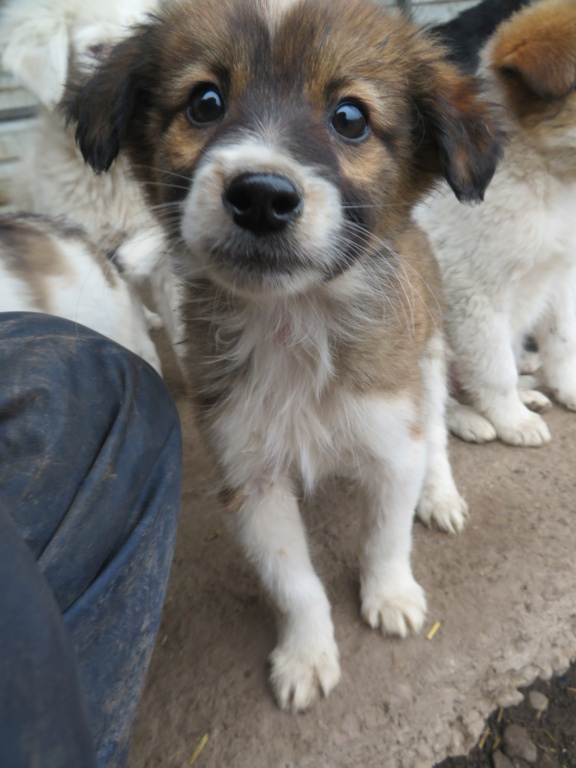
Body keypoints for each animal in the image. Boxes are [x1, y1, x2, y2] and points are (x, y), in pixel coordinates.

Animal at [66, 0, 500, 712]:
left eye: (350, 117)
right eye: (205, 102)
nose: (261, 196)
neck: (295, 322)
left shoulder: (391, 434)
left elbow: (387, 534)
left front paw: (391, 595)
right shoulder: (250, 475)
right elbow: (294, 583)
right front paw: (306, 655)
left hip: (430, 362)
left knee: (436, 434)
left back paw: (439, 494)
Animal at [416, 0, 576, 448]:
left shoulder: (559, 277)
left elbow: (561, 341)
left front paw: (566, 388)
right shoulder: (474, 294)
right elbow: (494, 368)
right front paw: (513, 421)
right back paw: (474, 419)